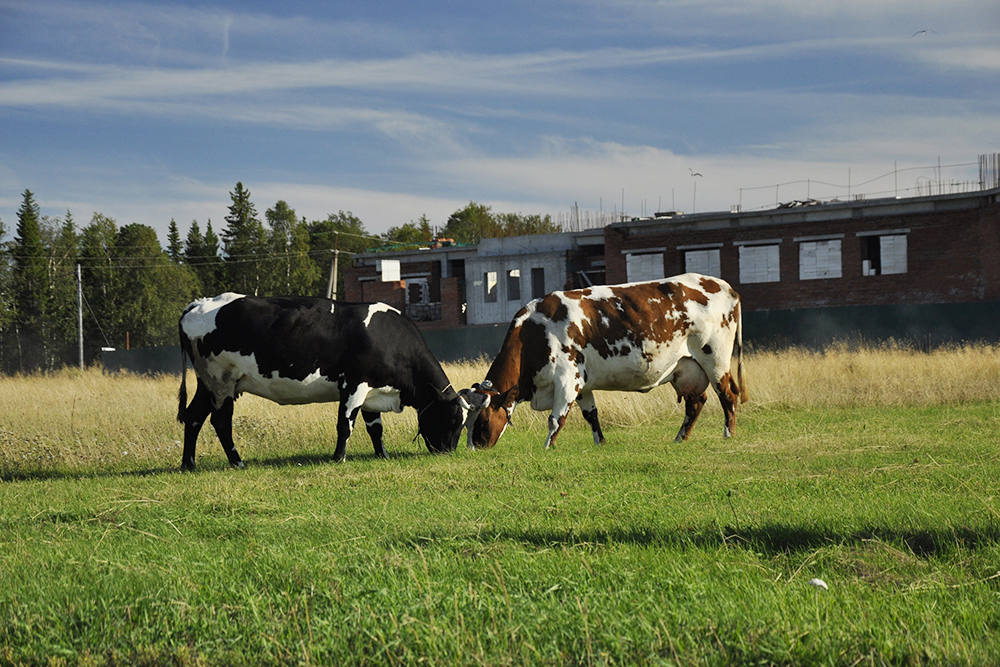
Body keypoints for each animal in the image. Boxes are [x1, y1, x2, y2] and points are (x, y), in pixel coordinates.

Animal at [179, 294, 468, 472]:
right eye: (454, 419)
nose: (448, 452)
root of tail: (200, 303)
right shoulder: (354, 385)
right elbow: (345, 425)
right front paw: (339, 457)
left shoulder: (372, 391)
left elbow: (375, 428)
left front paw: (382, 455)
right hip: (221, 382)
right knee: (220, 421)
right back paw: (237, 462)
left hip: (207, 383)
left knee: (193, 417)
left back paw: (188, 464)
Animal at [458, 274, 748, 452]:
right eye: (465, 424)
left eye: (482, 420)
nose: (474, 450)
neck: (534, 332)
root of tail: (725, 286)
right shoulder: (582, 384)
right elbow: (591, 416)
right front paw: (600, 442)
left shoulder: (567, 378)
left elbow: (556, 419)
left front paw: (548, 447)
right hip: (687, 369)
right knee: (696, 403)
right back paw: (680, 438)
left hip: (715, 359)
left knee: (728, 395)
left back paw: (728, 434)